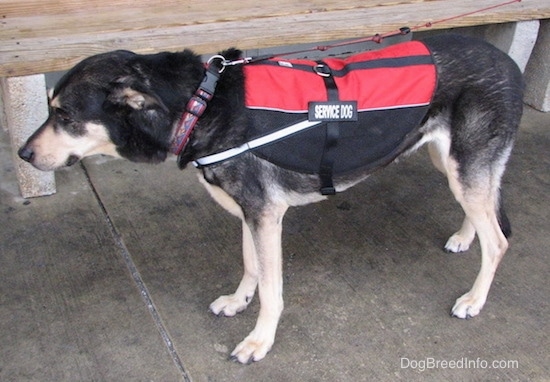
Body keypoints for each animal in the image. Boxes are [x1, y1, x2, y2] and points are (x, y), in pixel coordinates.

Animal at [18, 35, 528, 364]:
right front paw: (238, 300)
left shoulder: (265, 215)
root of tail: (508, 63)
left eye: (65, 116)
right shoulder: (250, 212)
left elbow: (272, 289)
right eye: (50, 108)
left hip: (464, 165)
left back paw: (474, 298)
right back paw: (465, 237)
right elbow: (251, 268)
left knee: (499, 240)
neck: (201, 103)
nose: (22, 154)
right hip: (451, 162)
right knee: (483, 209)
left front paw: (259, 340)